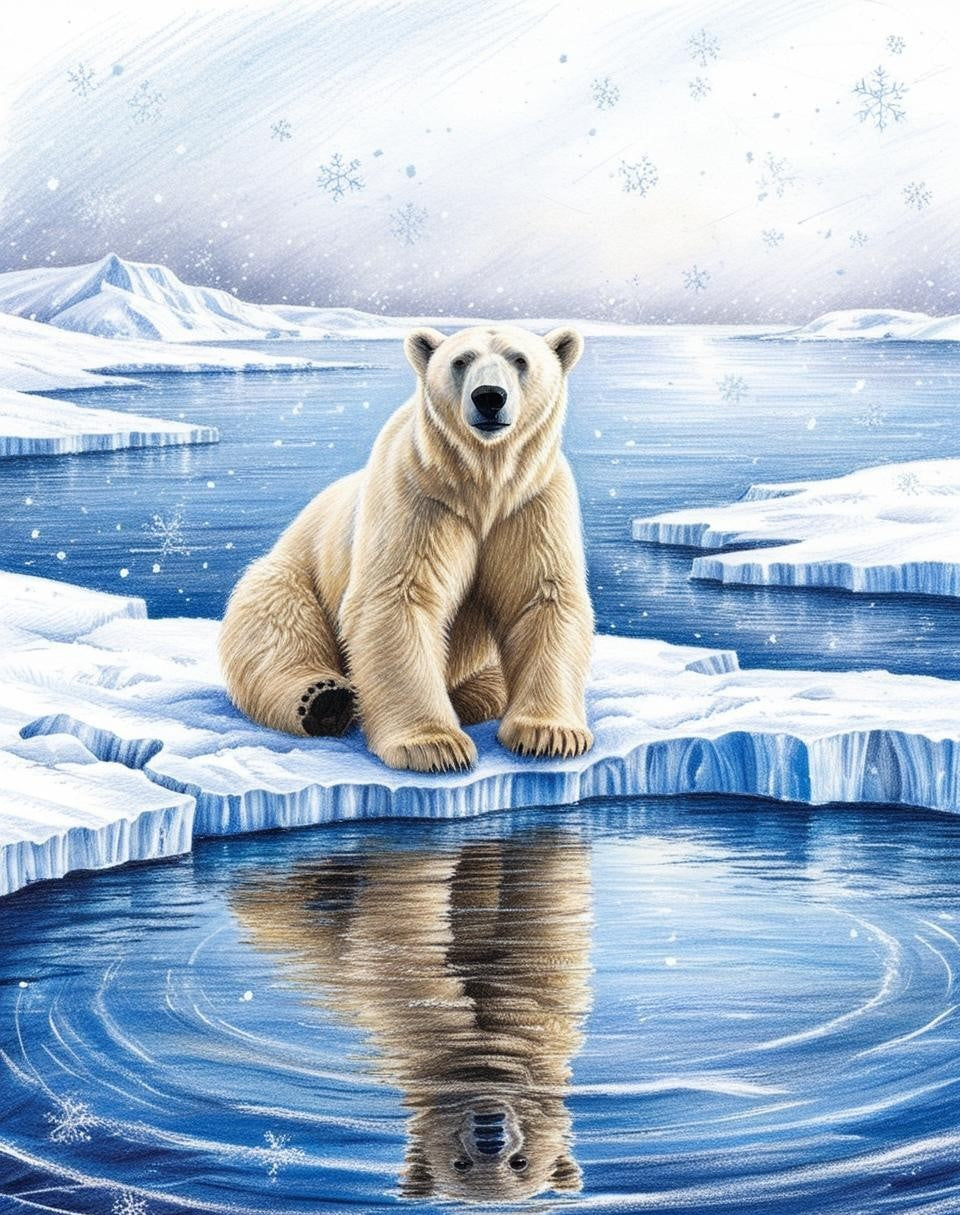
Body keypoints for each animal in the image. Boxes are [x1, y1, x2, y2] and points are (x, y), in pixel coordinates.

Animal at [218, 324, 594, 773]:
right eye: (460, 361)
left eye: (520, 359)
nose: (489, 397)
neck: (482, 482)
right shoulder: (416, 493)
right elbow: (398, 597)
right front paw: (434, 746)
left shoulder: (532, 500)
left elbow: (542, 598)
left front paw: (550, 734)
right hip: (292, 572)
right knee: (277, 624)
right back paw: (325, 701)